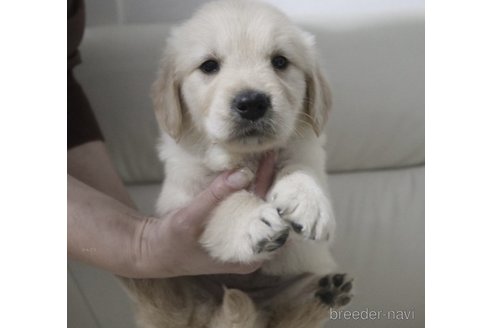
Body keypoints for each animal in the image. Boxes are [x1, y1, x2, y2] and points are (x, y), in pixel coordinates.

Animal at [123, 0, 354, 328]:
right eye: (209, 66)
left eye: (280, 61)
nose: (252, 103)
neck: (247, 156)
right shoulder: (181, 201)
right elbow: (222, 199)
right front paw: (252, 219)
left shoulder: (305, 151)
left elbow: (300, 169)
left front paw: (307, 201)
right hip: (179, 282)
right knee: (170, 304)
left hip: (301, 277)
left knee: (288, 315)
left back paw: (325, 293)